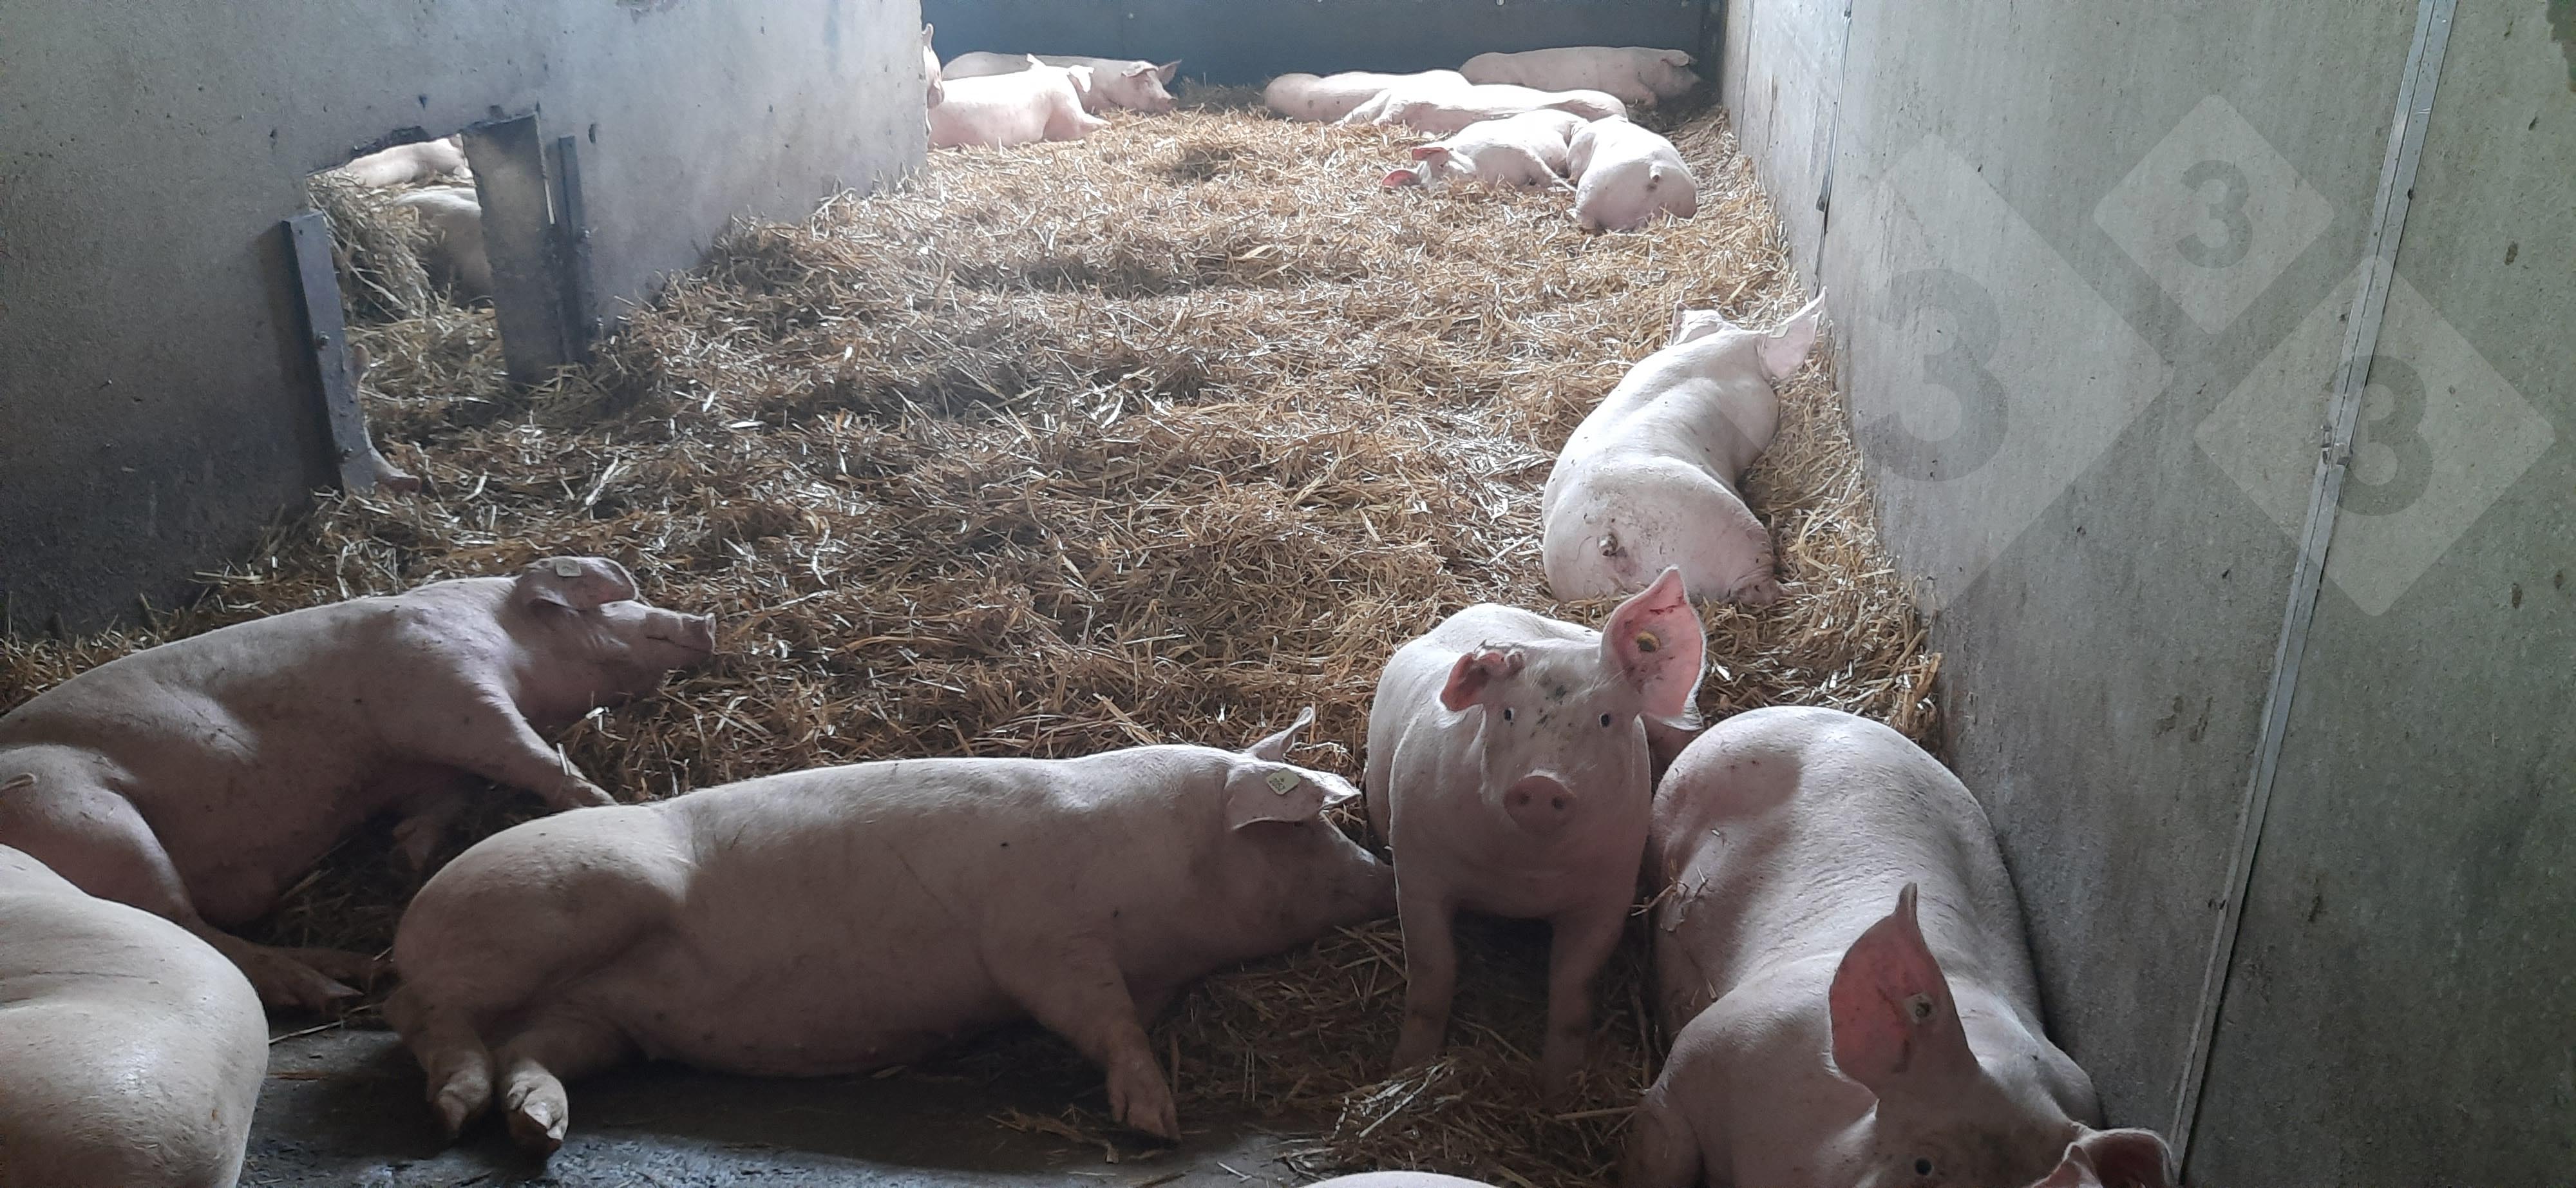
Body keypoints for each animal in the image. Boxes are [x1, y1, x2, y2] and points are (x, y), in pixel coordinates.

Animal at [0, 557, 716, 1011]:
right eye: (617, 602)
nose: (704, 621)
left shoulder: (427, 766)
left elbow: (446, 798)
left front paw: (408, 857)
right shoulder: (448, 686)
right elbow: (528, 754)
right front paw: (609, 802)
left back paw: (357, 973)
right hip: (84, 815)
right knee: (188, 926)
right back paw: (327, 991)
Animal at [387, 709, 1395, 1151]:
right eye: (1306, 829)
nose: (1387, 875)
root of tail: (407, 924)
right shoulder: (1041, 946)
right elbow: (1102, 1021)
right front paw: (1160, 1124)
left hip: (604, 1024)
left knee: (523, 1052)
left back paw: (537, 1130)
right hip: (564, 903)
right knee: (431, 1020)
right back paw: (454, 1112)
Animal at [1363, 569, 1705, 1101]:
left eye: (1605, 719)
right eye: (1506, 713)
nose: (1542, 784)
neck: (1525, 876)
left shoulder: (1609, 894)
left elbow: (1572, 989)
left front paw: (1558, 1092)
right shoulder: (1416, 868)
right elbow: (1432, 970)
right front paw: (1404, 1069)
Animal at [1380, 109, 1587, 190]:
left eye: (1441, 165)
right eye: (1424, 184)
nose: (1438, 190)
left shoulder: (1519, 150)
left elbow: (1545, 173)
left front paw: (1571, 190)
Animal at [1462, 46, 1701, 108]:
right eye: (1682, 69)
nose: (1700, 81)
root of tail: (1463, 72)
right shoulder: (1622, 83)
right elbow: (1647, 93)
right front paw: (1649, 106)